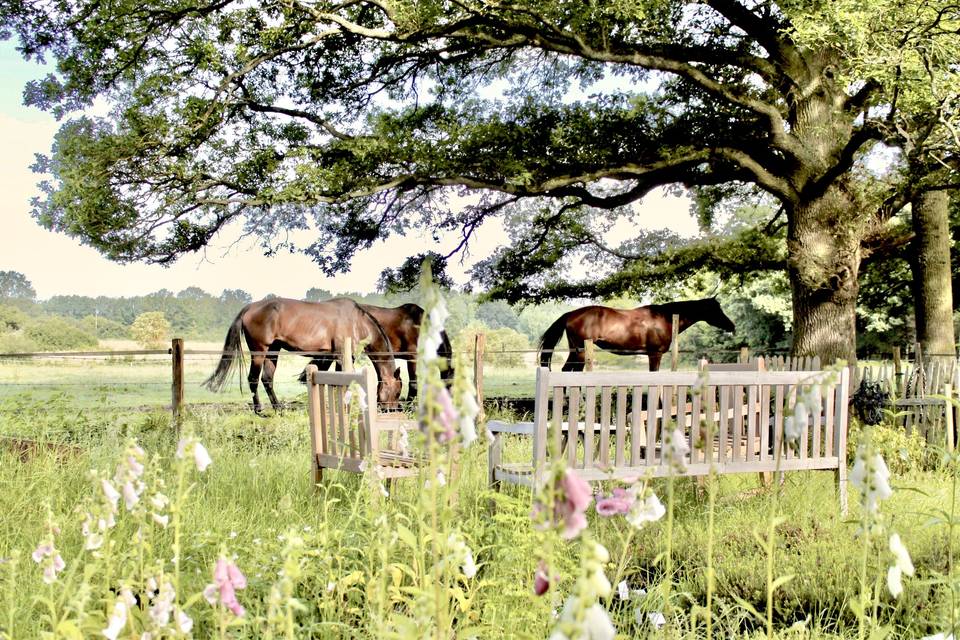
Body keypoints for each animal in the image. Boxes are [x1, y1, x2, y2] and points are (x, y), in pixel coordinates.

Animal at [202, 296, 402, 412]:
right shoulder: (343, 357)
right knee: (253, 379)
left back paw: (278, 408)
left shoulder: (331, 357)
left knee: (267, 379)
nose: (391, 410)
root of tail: (250, 307)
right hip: (259, 351)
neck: (357, 321)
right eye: (398, 391)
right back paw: (259, 410)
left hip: (273, 352)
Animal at [540, 298, 736, 372]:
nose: (731, 326)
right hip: (581, 352)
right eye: (716, 309)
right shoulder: (655, 354)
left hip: (576, 351)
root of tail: (570, 314)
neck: (665, 318)